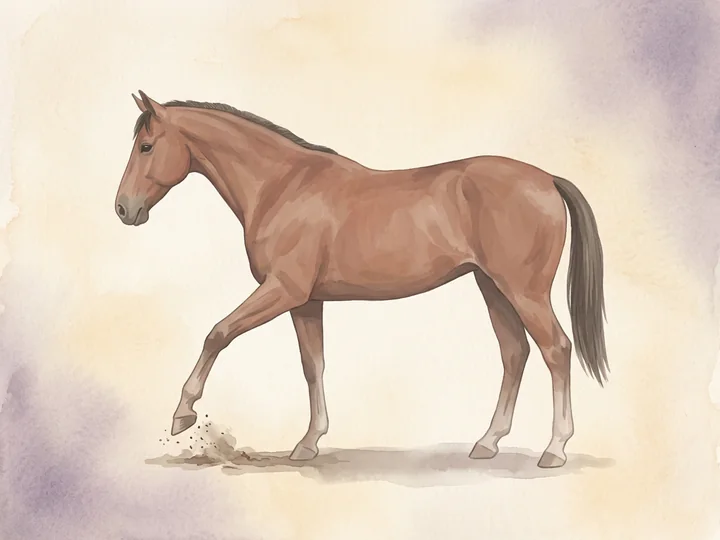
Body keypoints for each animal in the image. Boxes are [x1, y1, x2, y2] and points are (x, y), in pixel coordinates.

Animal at [115, 90, 608, 468]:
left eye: (146, 146)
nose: (123, 209)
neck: (282, 186)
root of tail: (546, 179)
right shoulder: (305, 302)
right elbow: (312, 366)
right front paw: (308, 443)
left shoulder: (282, 290)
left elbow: (218, 333)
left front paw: (182, 413)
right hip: (493, 288)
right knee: (515, 353)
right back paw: (487, 443)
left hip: (524, 291)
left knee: (555, 350)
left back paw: (555, 449)